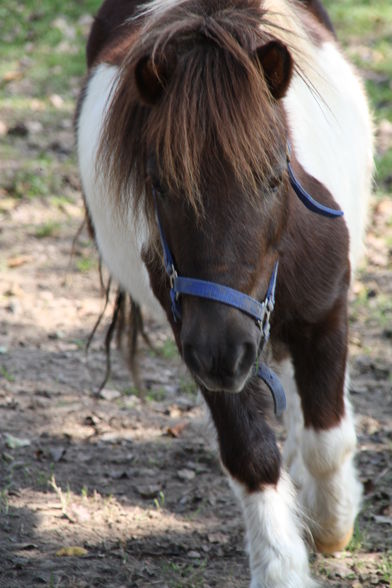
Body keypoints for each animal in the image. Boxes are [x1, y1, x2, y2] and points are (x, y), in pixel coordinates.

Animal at [76, 2, 374, 584]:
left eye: (273, 177)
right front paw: (281, 566)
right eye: (160, 184)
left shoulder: (327, 315)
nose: (223, 350)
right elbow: (250, 453)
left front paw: (331, 523)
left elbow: (327, 440)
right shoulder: (198, 341)